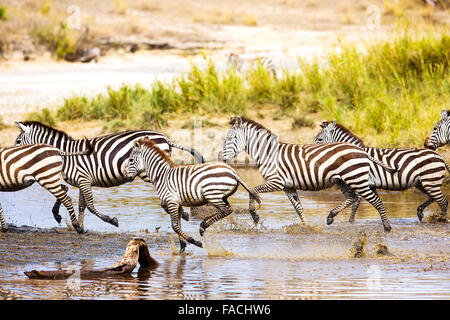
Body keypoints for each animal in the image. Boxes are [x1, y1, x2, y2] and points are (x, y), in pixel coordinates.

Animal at [13, 120, 204, 230]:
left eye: (17, 141)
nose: (12, 156)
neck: (66, 154)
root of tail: (164, 137)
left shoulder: (83, 179)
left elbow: (89, 205)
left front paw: (111, 220)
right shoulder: (82, 181)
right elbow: (81, 205)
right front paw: (79, 226)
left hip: (148, 171)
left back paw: (183, 213)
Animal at [125, 137, 262, 252]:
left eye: (131, 160)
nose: (126, 176)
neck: (162, 175)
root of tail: (232, 171)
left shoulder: (171, 201)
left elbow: (175, 226)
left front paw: (195, 242)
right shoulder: (176, 203)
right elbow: (178, 224)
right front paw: (182, 247)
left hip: (212, 195)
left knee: (227, 210)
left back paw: (203, 225)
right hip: (221, 196)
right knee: (227, 209)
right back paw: (203, 224)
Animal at [221, 116, 398, 231]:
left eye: (232, 138)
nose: (222, 159)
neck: (268, 154)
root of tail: (362, 150)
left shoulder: (276, 182)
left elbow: (252, 190)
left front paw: (254, 215)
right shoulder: (288, 186)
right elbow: (298, 207)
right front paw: (306, 226)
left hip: (356, 179)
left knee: (376, 201)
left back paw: (387, 227)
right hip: (343, 180)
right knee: (353, 197)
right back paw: (330, 217)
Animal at [314, 120, 448, 222]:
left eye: (319, 139)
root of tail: (439, 156)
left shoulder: (360, 182)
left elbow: (355, 203)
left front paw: (349, 222)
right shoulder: (370, 184)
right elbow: (368, 202)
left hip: (430, 181)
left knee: (443, 201)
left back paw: (440, 219)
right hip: (422, 182)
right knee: (433, 197)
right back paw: (420, 212)